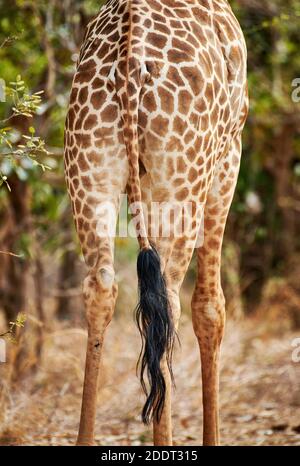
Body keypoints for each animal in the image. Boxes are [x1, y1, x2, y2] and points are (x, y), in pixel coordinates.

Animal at [63, 0, 248, 446]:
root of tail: (129, 63)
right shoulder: (229, 156)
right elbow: (211, 307)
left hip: (87, 167)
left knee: (101, 286)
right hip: (186, 177)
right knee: (172, 302)